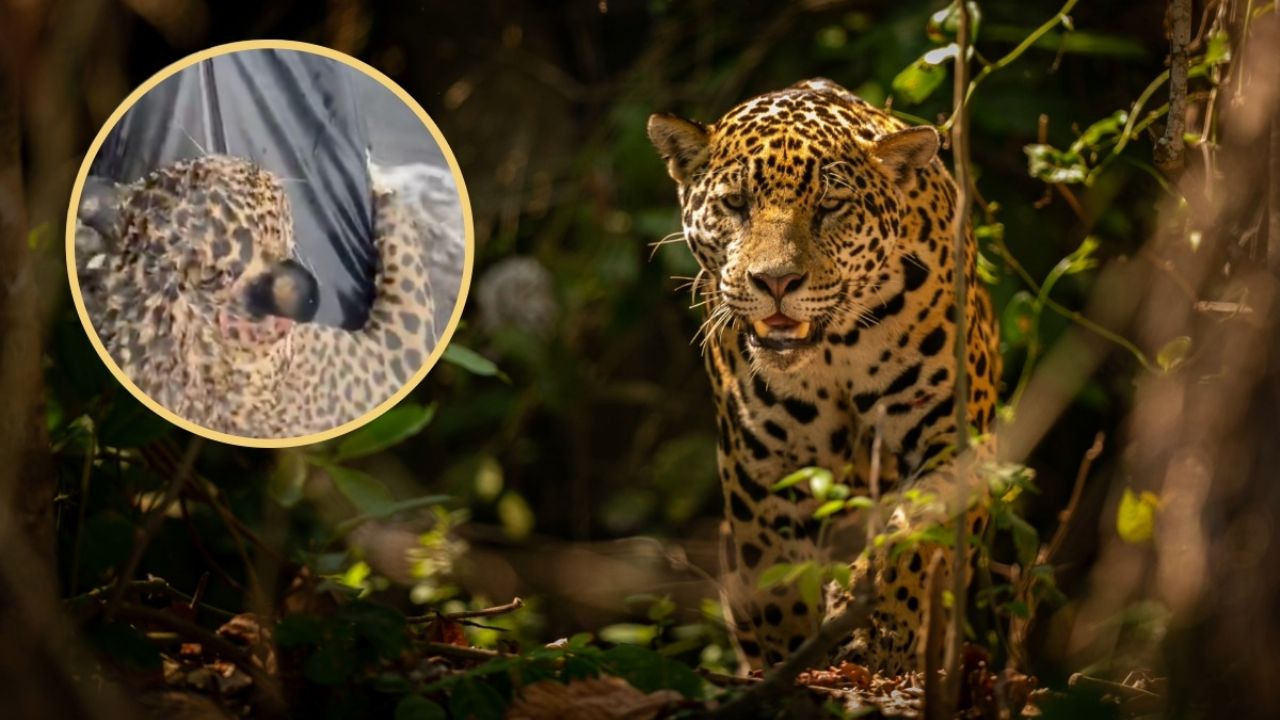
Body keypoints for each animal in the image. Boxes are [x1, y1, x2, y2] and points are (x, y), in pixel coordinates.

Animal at [74, 154, 459, 439]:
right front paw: (389, 202)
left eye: (193, 174)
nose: (258, 166)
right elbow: (407, 273)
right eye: (262, 196)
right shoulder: (386, 362)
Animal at [647, 78, 1000, 675]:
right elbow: (778, 582)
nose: (775, 282)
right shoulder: (762, 465)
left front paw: (878, 630)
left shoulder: (952, 433)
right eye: (735, 204)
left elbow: (914, 536)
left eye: (831, 207)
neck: (837, 346)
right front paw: (796, 661)